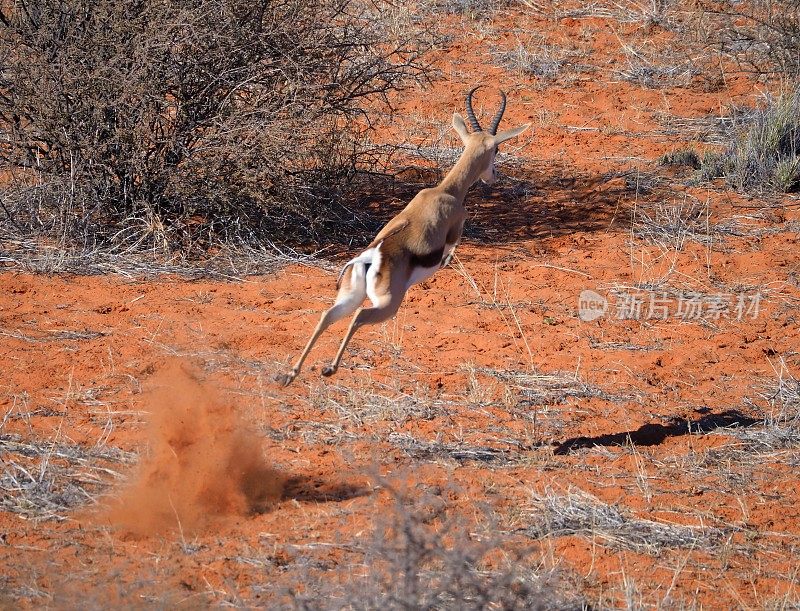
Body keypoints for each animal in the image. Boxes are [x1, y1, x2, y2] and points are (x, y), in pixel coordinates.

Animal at [276, 88, 532, 384]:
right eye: (496, 149)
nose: (493, 176)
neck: (445, 191)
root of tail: (370, 258)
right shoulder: (455, 230)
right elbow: (451, 249)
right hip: (385, 305)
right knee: (358, 316)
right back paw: (329, 368)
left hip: (349, 297)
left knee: (326, 316)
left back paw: (289, 374)